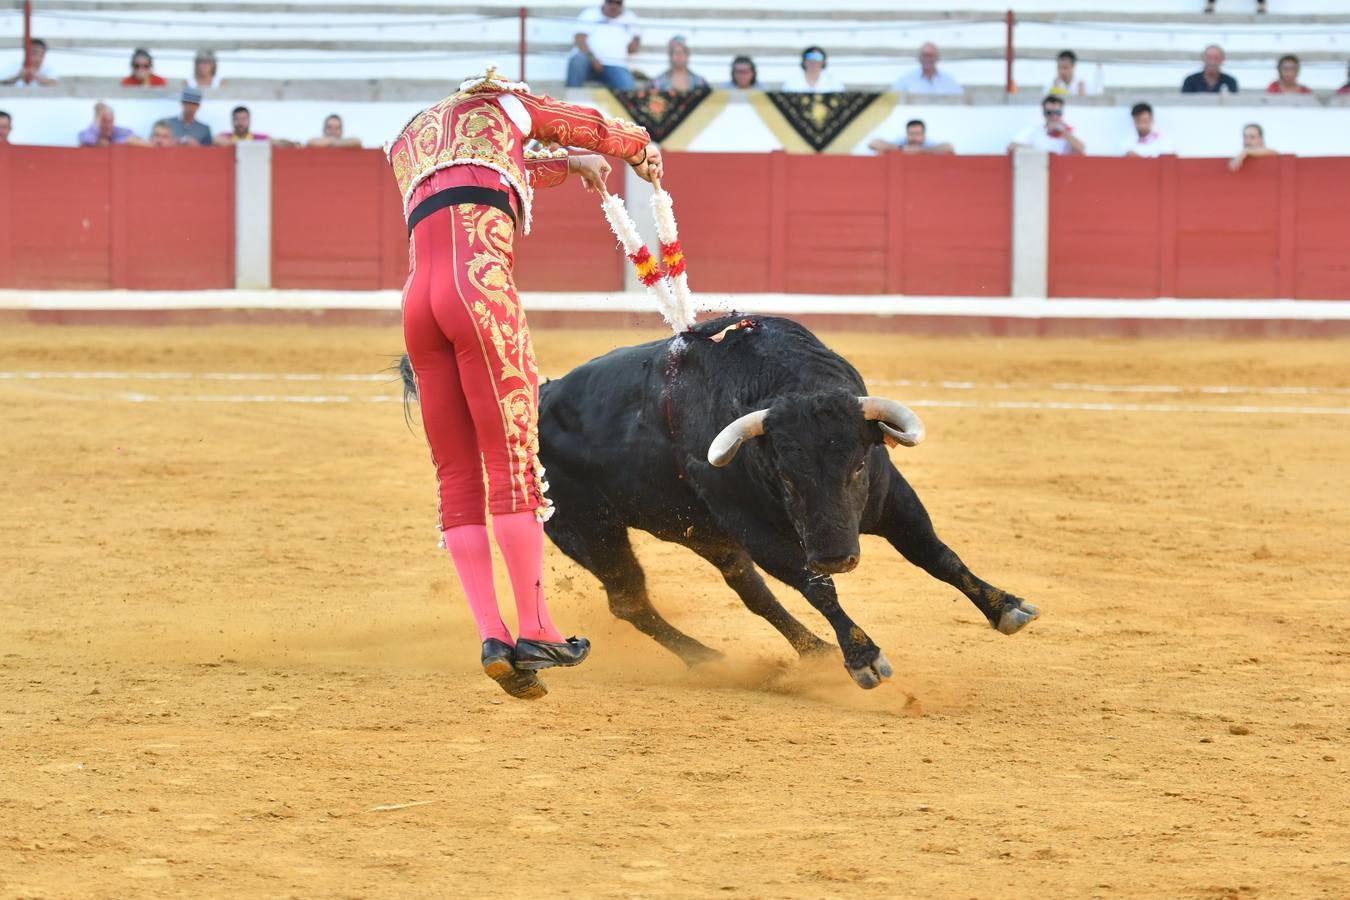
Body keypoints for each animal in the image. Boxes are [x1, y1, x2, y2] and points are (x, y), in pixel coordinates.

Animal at [394, 313, 1036, 685]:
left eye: (857, 465)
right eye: (786, 478)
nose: (838, 554)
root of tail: (540, 398)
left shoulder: (890, 497)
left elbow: (937, 554)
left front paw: (1006, 607)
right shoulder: (763, 530)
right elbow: (816, 587)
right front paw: (863, 657)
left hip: (700, 531)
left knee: (748, 589)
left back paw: (809, 651)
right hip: (589, 528)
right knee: (631, 601)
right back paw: (709, 659)